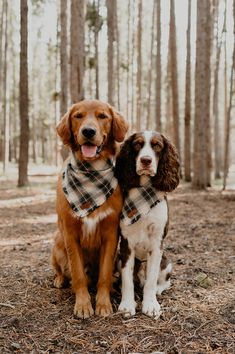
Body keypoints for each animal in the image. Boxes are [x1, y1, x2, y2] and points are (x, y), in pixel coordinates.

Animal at [51, 99, 129, 318]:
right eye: (78, 116)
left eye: (102, 116)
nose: (88, 131)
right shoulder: (70, 234)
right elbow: (78, 274)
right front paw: (83, 305)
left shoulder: (111, 233)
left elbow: (104, 274)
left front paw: (103, 304)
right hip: (57, 242)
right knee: (62, 270)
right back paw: (60, 279)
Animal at [114, 131, 179, 320]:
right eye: (137, 144)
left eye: (157, 145)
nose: (146, 160)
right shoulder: (126, 244)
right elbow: (127, 279)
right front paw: (127, 305)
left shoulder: (157, 244)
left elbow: (151, 280)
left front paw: (150, 305)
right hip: (117, 259)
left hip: (167, 262)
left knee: (164, 281)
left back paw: (157, 290)